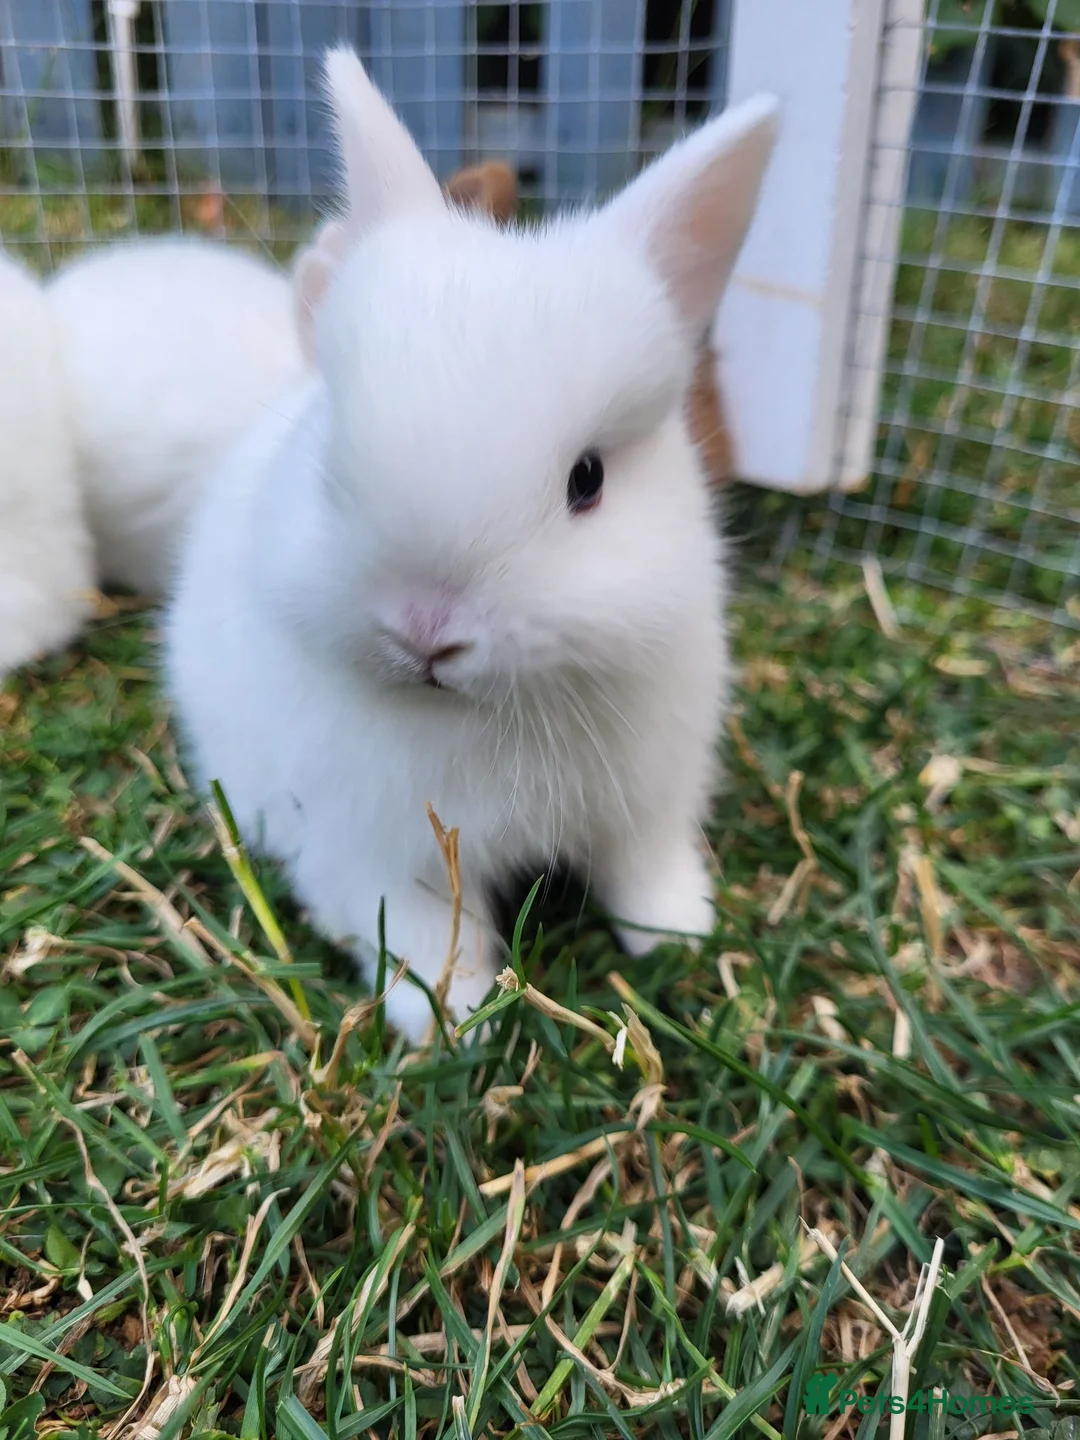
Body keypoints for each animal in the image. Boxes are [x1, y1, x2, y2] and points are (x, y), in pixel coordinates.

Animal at [164, 45, 779, 1043]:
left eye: (588, 480)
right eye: (330, 462)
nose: (425, 629)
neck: (484, 712)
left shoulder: (651, 800)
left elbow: (644, 868)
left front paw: (680, 936)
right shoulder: (375, 853)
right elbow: (422, 934)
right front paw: (452, 1022)